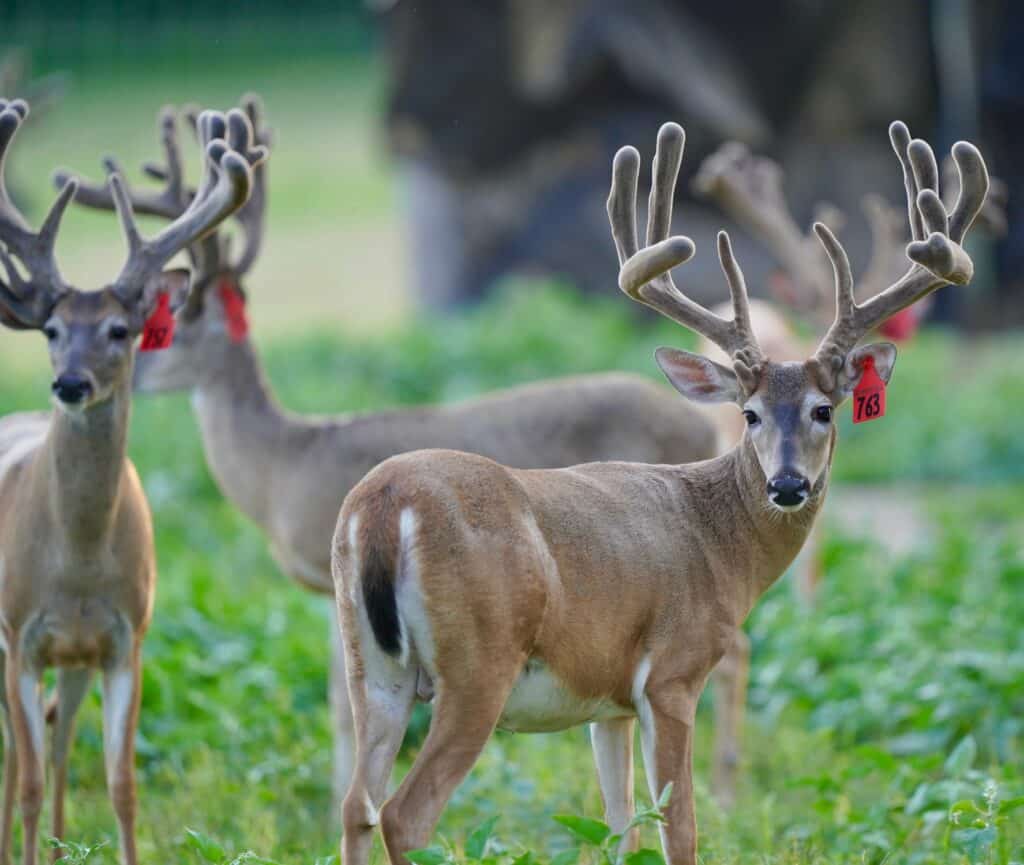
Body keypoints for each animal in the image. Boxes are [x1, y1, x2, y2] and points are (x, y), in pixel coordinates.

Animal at [0, 99, 264, 865]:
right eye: (51, 329)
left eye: (121, 329)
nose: (68, 383)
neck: (77, 563)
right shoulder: (20, 630)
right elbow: (27, 783)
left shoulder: (126, 637)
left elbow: (122, 784)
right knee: (19, 755)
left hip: (75, 656)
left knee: (56, 736)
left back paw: (62, 842)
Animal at [55, 98, 733, 816]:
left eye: (165, 323)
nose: (114, 374)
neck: (281, 468)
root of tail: (704, 424)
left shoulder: (328, 578)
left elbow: (337, 703)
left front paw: (329, 806)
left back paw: (724, 788)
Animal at [331, 119, 988, 865]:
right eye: (750, 413)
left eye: (825, 408)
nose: (788, 484)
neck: (719, 544)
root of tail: (382, 506)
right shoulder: (672, 673)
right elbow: (679, 826)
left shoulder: (606, 703)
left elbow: (621, 826)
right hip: (478, 666)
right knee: (405, 814)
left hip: (371, 667)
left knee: (356, 805)